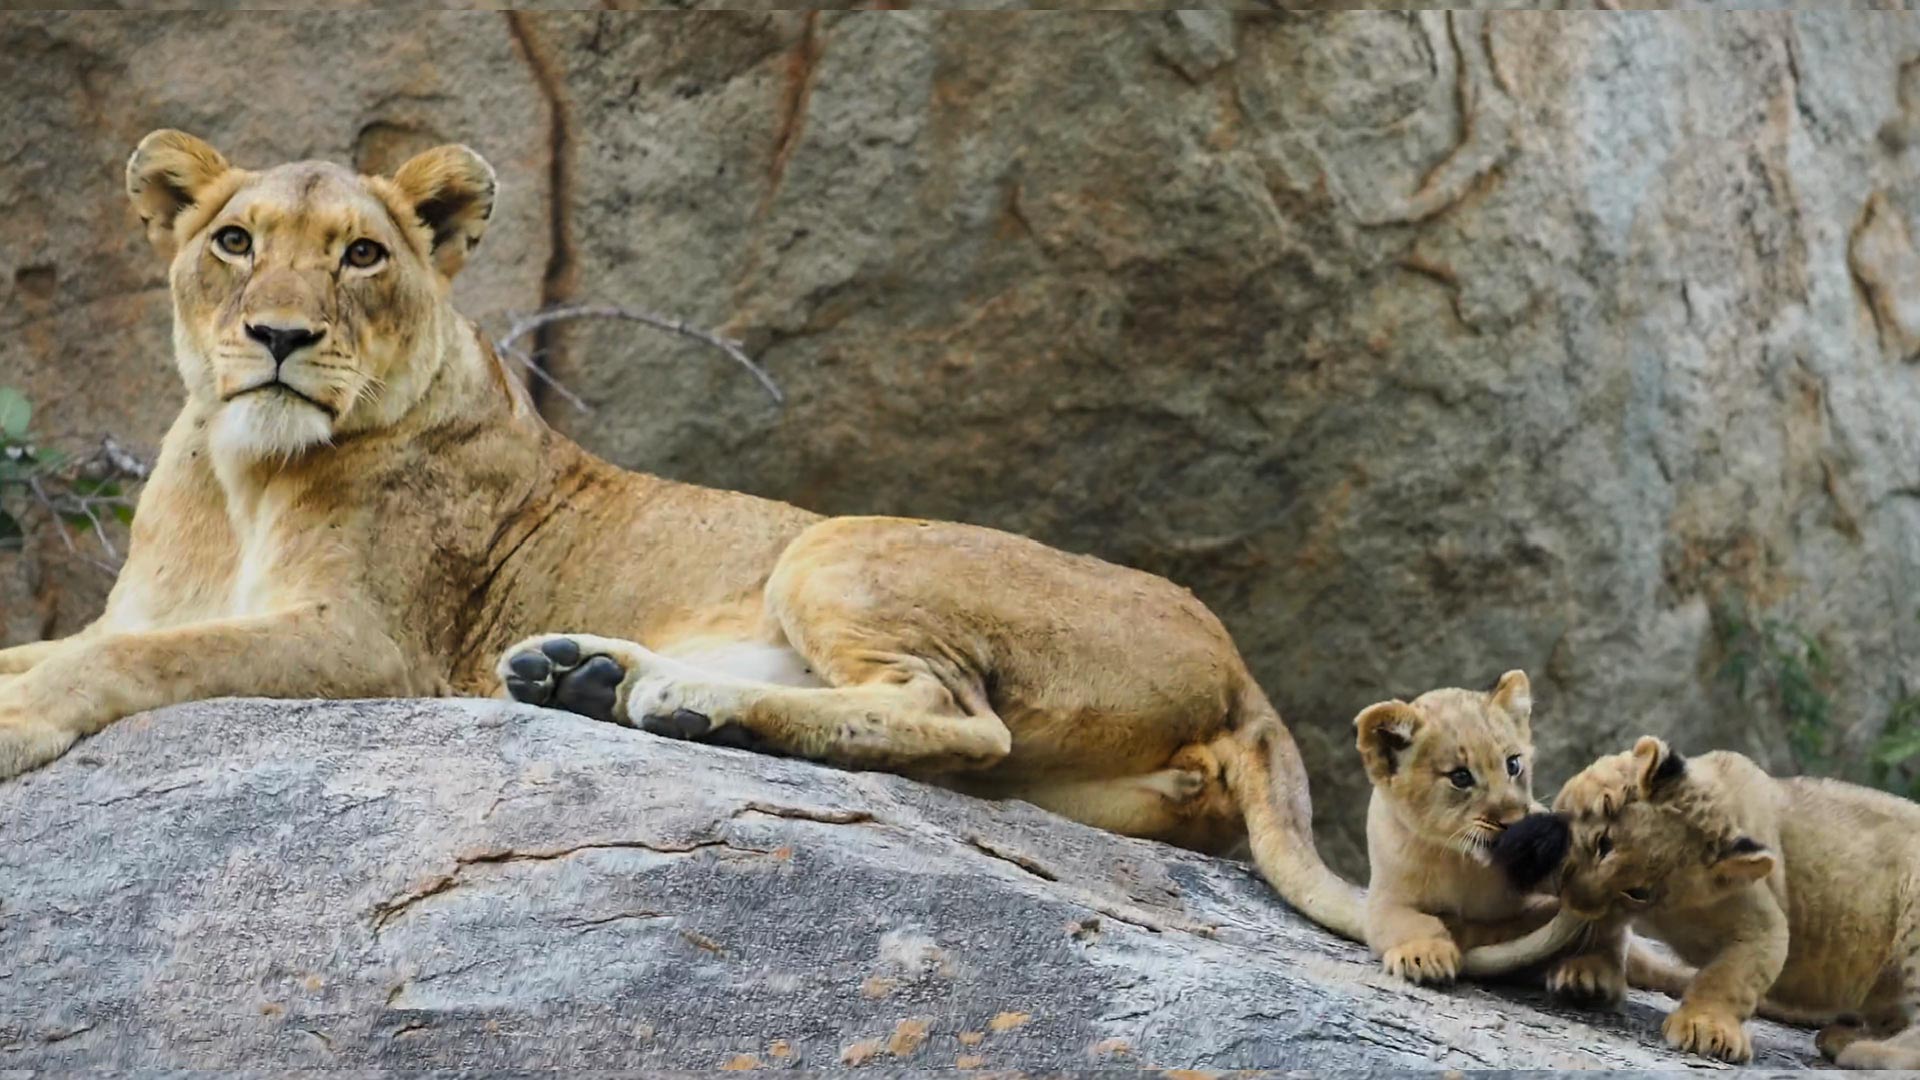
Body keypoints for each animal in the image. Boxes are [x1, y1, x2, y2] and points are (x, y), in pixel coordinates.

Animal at [0, 131, 1370, 940]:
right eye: (233, 243)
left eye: (363, 257)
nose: (278, 337)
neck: (236, 474)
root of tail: (1242, 673)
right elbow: (86, 640)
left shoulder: (370, 647)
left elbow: (142, 659)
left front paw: (21, 722)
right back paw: (590, 677)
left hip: (840, 544)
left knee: (957, 719)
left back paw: (668, 704)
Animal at [1493, 736, 1920, 1068]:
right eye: (1603, 842)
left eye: (1640, 890)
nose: (1574, 898)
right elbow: (1605, 930)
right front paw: (1588, 974)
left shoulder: (1764, 924)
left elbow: (1730, 978)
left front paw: (1707, 1029)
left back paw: (1858, 1048)